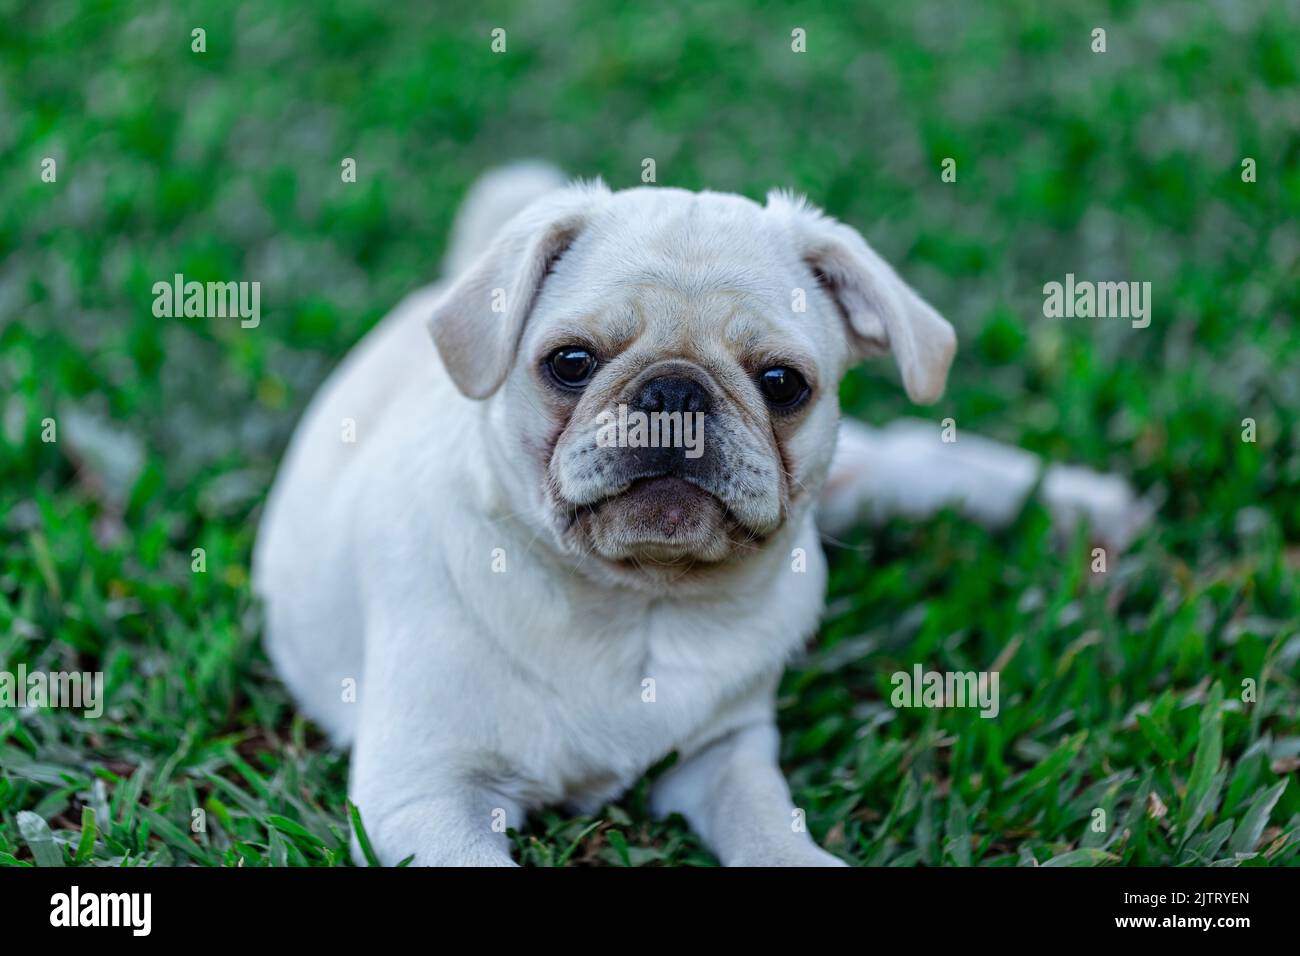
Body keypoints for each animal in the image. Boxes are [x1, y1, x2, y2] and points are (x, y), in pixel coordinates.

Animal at [256, 160, 1149, 863]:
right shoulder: (426, 798)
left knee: (913, 455)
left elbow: (769, 832)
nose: (676, 391)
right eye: (569, 363)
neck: (636, 604)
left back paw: (1083, 505)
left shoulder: (726, 755)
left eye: (783, 383)